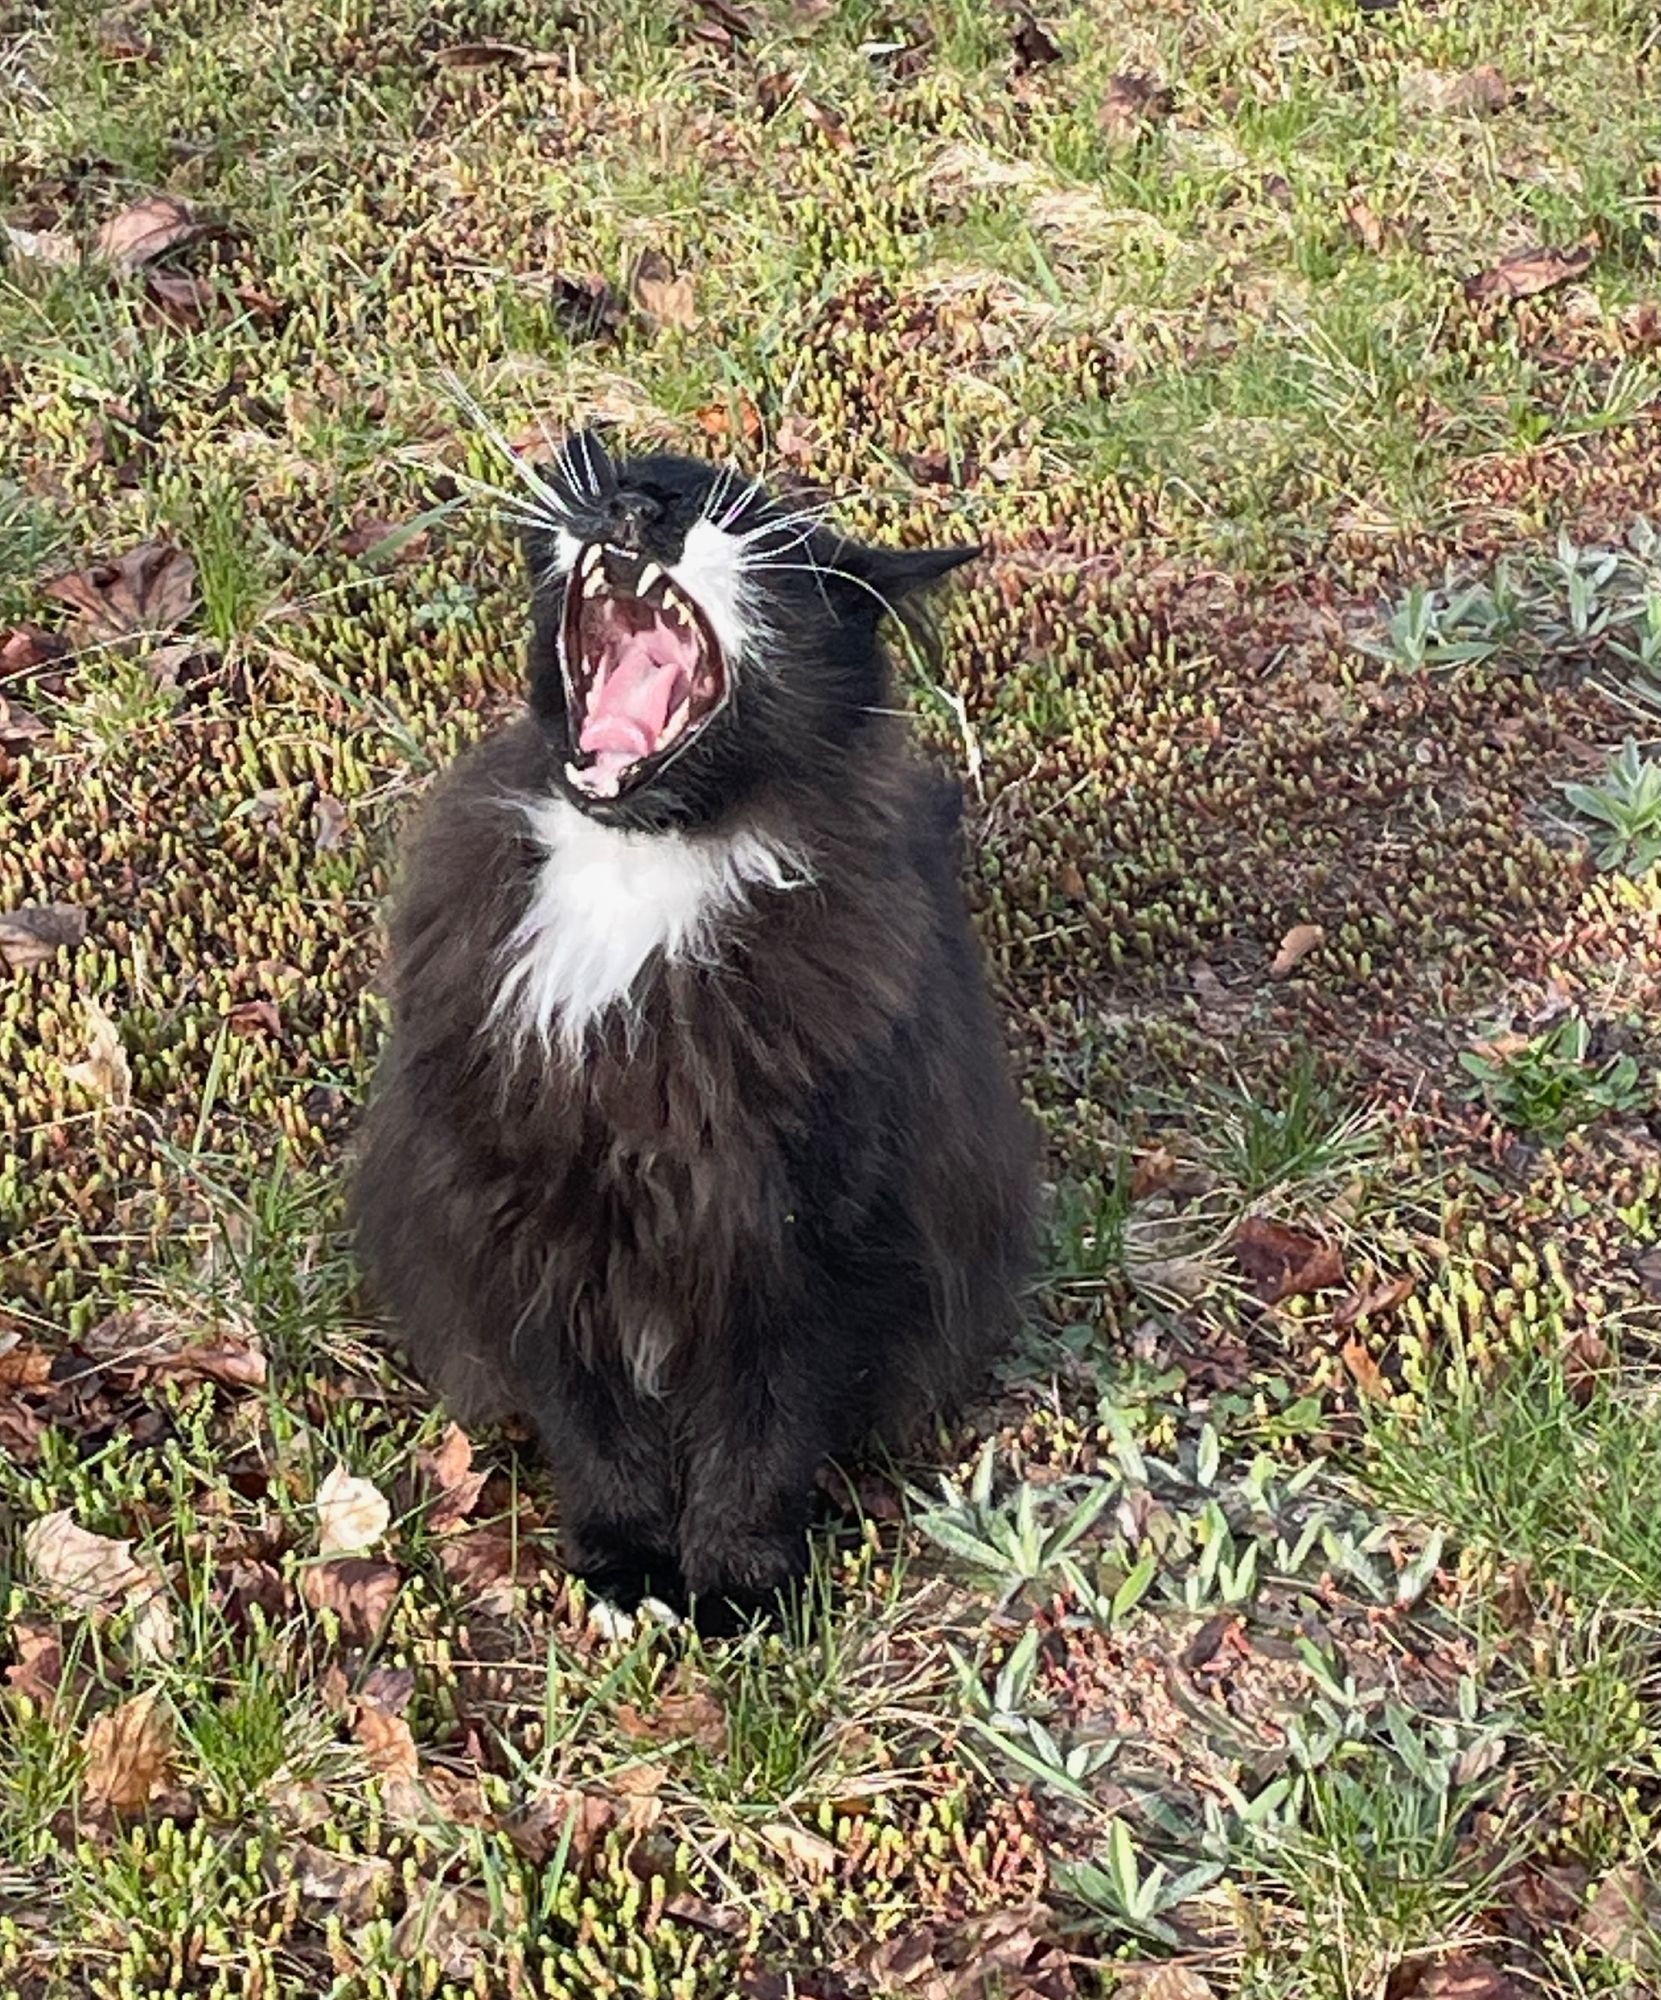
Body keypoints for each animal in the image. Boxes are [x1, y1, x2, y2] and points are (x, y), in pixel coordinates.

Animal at [352, 430, 1040, 1632]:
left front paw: (732, 1584)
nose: (639, 509)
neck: (637, 872)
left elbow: (761, 1434)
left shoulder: (800, 1240)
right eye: (633, 474)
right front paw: (627, 1565)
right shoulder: (532, 1224)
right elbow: (595, 1430)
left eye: (750, 522)